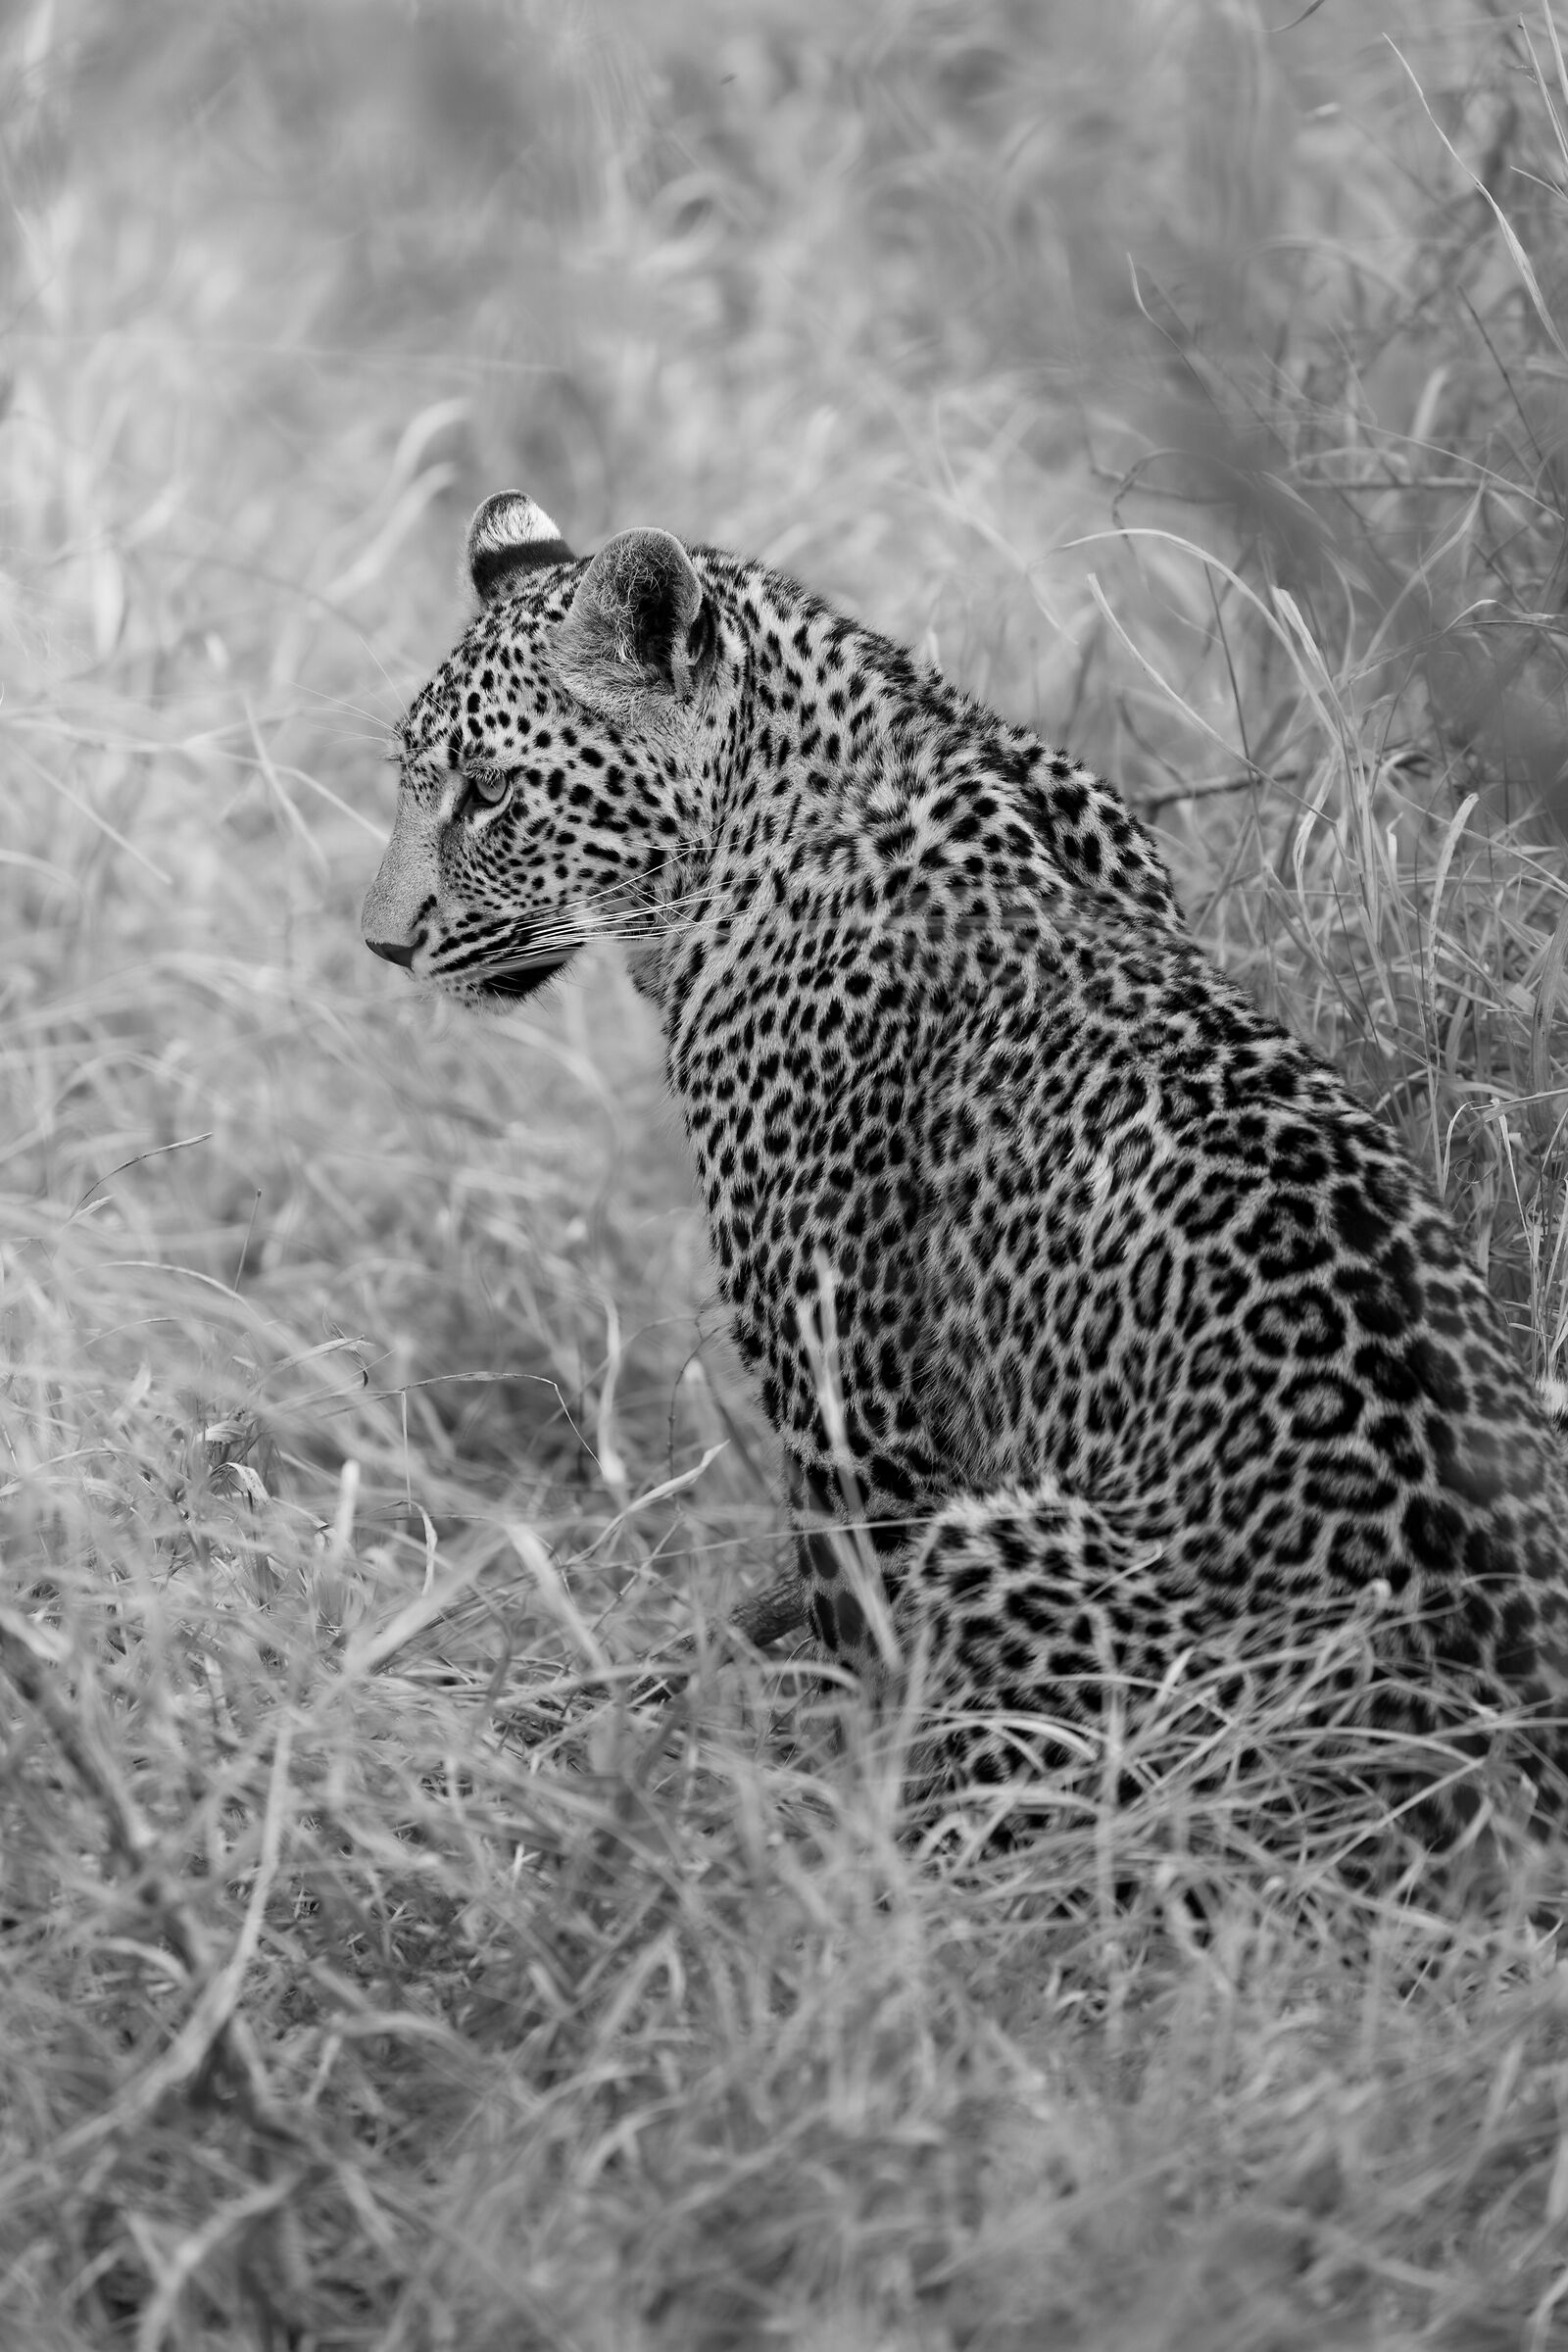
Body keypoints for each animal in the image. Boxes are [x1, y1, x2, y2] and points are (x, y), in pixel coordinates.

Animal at [363, 488, 1568, 1852]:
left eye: (486, 793)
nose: (382, 943)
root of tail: (1494, 1753)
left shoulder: (851, 1401)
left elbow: (866, 1654)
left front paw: (831, 1844)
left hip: (1010, 1555)